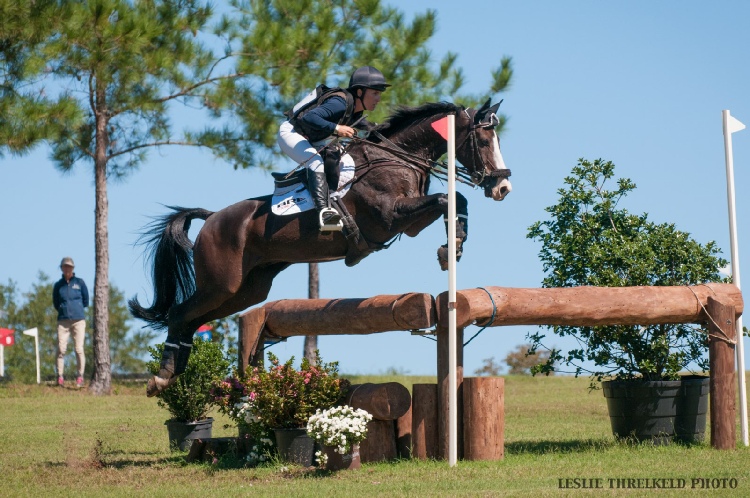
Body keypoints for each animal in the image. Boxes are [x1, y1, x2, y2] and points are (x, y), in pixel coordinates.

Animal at [132, 99, 516, 394]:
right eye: (484, 141)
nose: (503, 188)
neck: (398, 158)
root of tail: (212, 218)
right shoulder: (390, 217)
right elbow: (445, 198)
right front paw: (449, 249)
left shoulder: (409, 224)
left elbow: (454, 200)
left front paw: (453, 246)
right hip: (221, 284)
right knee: (180, 313)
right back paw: (161, 378)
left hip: (246, 290)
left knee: (194, 319)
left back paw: (173, 375)